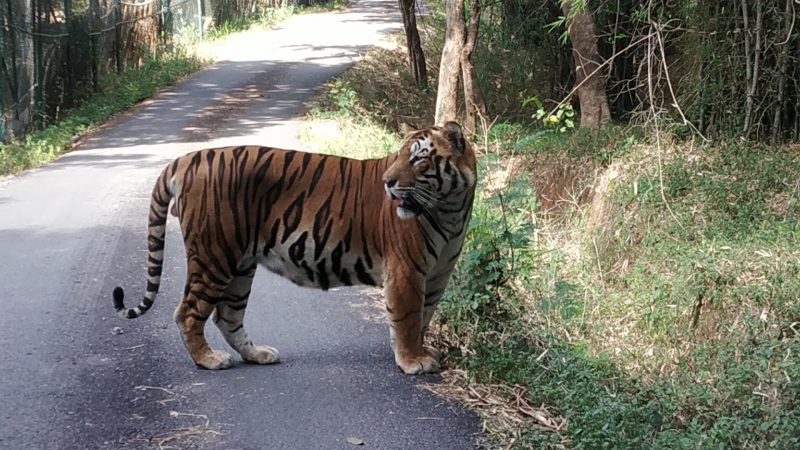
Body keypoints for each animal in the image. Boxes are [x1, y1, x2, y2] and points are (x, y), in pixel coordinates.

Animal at [112, 121, 476, 374]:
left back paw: (257, 354)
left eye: (418, 160)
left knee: (227, 316)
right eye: (399, 157)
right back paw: (209, 359)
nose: (387, 182)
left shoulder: (438, 273)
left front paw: (422, 352)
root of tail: (187, 157)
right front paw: (413, 361)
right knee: (188, 312)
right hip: (213, 256)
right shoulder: (406, 272)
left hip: (240, 264)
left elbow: (425, 316)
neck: (451, 209)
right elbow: (408, 318)